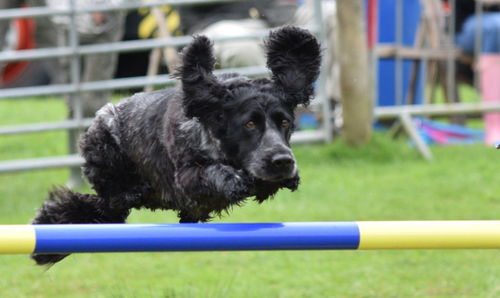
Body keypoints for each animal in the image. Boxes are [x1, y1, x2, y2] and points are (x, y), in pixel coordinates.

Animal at [32, 25, 320, 264]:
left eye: (284, 122)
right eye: (249, 124)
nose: (282, 161)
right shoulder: (185, 178)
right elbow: (211, 172)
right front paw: (233, 180)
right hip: (106, 159)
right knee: (105, 201)